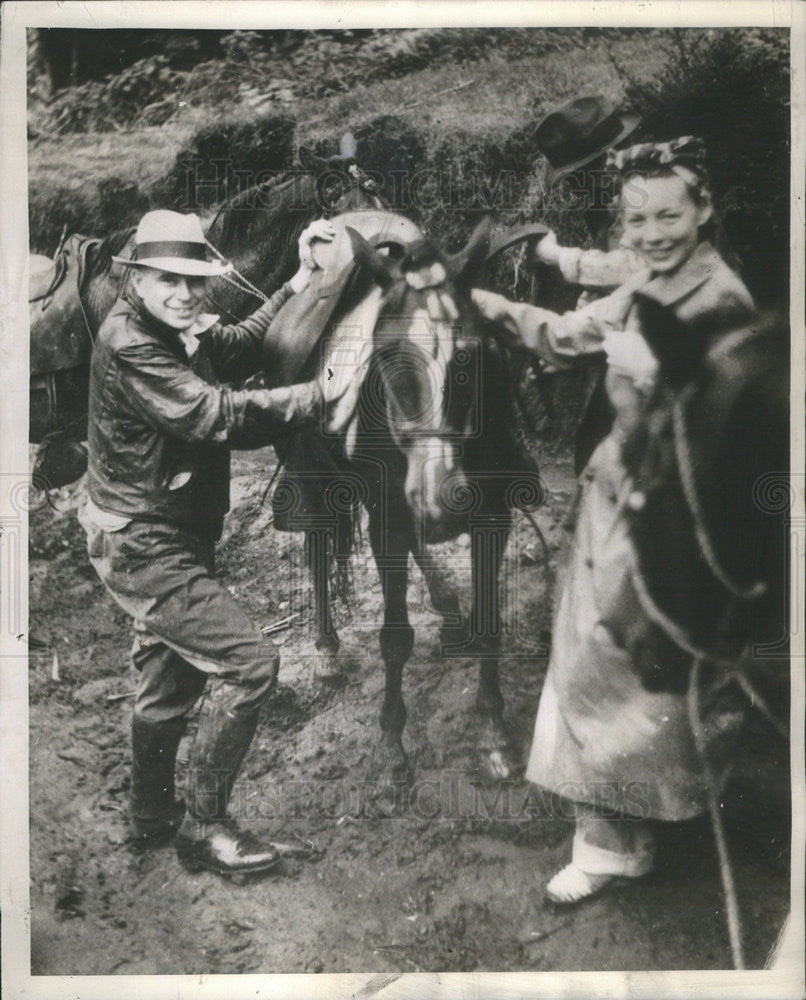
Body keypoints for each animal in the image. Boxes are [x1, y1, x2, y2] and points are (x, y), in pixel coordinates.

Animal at [262, 211, 548, 796]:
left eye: (471, 355)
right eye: (387, 357)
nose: (441, 497)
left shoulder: (492, 515)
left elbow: (490, 621)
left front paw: (493, 733)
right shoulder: (387, 522)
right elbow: (395, 639)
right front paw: (393, 751)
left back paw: (446, 604)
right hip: (316, 484)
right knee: (319, 549)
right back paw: (326, 649)